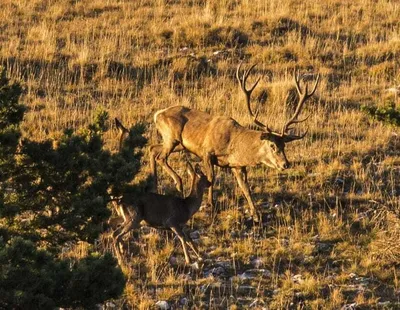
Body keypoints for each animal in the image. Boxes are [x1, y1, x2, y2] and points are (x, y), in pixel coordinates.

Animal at [111, 118, 211, 264]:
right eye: (203, 177)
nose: (210, 182)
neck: (187, 206)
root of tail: (120, 199)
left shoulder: (181, 224)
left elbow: (189, 238)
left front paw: (200, 255)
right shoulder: (172, 221)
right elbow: (182, 238)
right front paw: (189, 259)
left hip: (128, 217)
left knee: (113, 227)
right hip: (134, 217)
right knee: (116, 234)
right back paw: (121, 259)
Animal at [148, 64, 320, 222]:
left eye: (284, 145)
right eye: (272, 146)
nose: (285, 164)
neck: (233, 146)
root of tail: (157, 114)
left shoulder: (237, 166)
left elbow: (246, 188)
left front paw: (256, 215)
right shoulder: (207, 152)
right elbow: (211, 178)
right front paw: (211, 205)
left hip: (177, 144)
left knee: (152, 149)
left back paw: (155, 184)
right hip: (172, 137)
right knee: (160, 156)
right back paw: (178, 182)